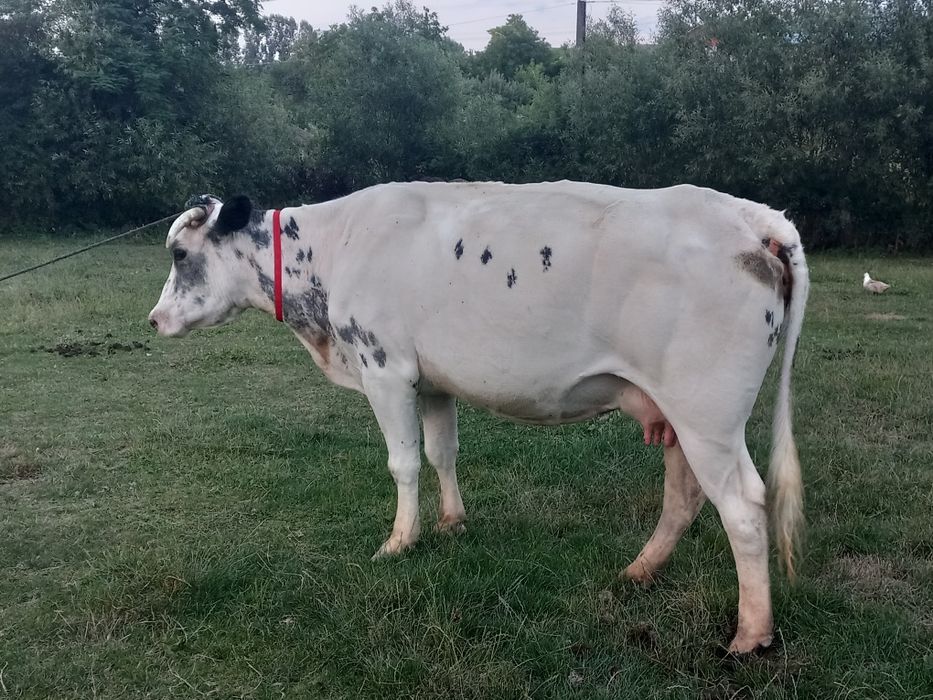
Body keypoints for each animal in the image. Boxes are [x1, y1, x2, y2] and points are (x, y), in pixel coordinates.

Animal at [148, 181, 808, 653]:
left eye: (180, 253)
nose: (153, 320)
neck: (332, 249)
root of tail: (754, 217)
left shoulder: (384, 368)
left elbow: (403, 462)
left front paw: (400, 541)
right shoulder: (433, 381)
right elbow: (442, 451)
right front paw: (452, 523)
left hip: (708, 414)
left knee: (742, 506)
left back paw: (751, 634)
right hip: (679, 416)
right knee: (684, 495)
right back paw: (640, 571)